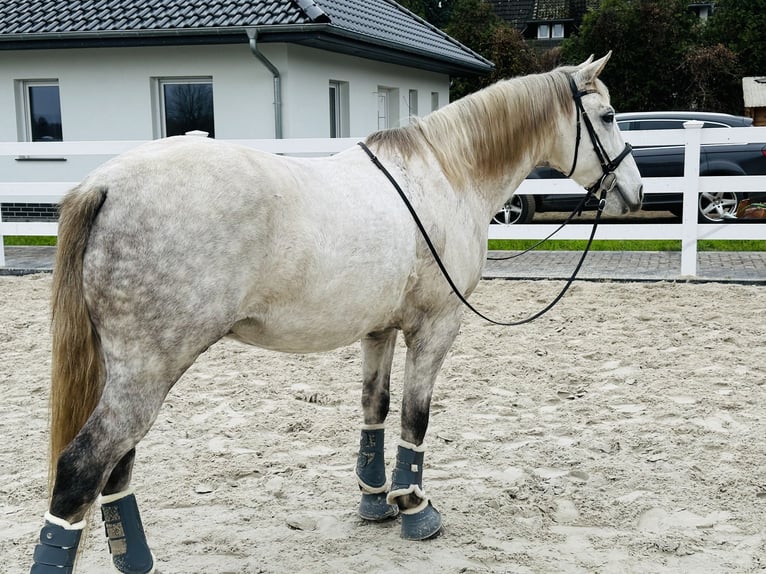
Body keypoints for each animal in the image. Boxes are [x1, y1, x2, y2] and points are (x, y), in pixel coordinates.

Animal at [28, 51, 640, 572]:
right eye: (608, 116)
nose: (632, 192)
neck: (447, 174)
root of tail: (105, 183)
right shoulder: (436, 328)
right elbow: (415, 416)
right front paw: (415, 508)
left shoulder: (380, 329)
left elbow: (375, 406)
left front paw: (376, 500)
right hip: (149, 370)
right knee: (85, 467)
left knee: (117, 466)